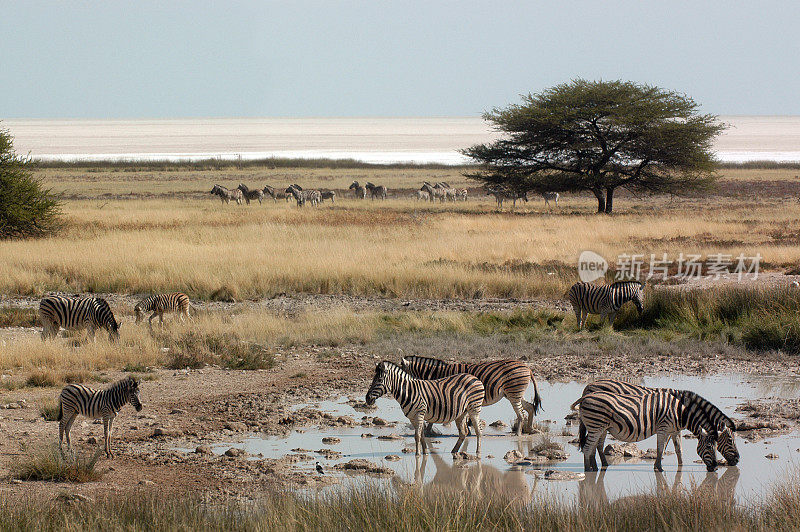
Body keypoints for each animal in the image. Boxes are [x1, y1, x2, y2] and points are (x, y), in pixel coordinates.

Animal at [400, 358, 544, 436]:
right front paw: (468, 430)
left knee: (521, 413)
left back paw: (518, 433)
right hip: (514, 394)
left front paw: (428, 432)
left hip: (514, 392)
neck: (437, 374)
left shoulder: (447, 396)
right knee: (530, 407)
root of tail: (528, 368)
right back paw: (530, 429)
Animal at [580, 378, 740, 466]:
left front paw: (680, 466)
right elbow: (663, 446)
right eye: (730, 440)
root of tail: (589, 386)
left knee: (596, 444)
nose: (737, 460)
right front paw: (659, 462)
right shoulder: (667, 425)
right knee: (593, 444)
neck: (683, 405)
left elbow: (678, 449)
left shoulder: (676, 428)